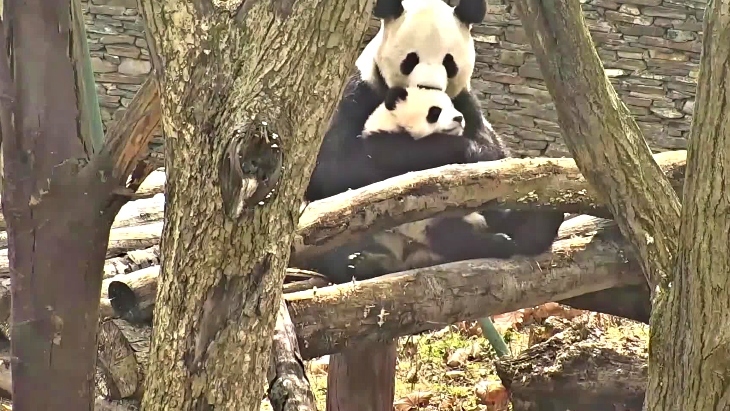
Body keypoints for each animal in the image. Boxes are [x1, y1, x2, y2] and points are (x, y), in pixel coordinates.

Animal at [298, 0, 564, 284]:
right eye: (410, 60)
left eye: (449, 62)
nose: (429, 86)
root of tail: (410, 255)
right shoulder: (358, 91)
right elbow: (331, 170)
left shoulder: (467, 104)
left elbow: (495, 158)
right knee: (329, 235)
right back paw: (360, 262)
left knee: (524, 212)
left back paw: (521, 236)